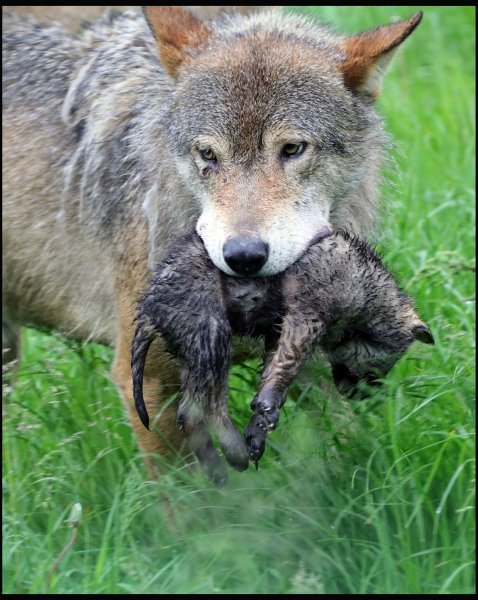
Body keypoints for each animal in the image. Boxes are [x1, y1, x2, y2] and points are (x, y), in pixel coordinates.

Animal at [131, 230, 434, 482]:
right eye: (379, 367)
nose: (360, 395)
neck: (368, 285)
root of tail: (149, 306)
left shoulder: (278, 331)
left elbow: (273, 369)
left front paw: (259, 425)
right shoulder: (308, 312)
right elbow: (288, 363)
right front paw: (266, 409)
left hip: (188, 347)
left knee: (193, 407)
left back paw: (223, 460)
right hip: (209, 329)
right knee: (198, 408)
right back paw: (232, 454)